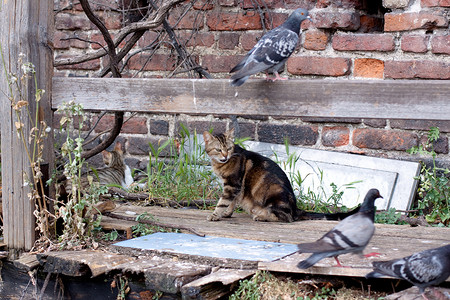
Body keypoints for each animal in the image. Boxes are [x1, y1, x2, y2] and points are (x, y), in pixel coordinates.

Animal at [203, 129, 356, 223]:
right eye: (218, 149)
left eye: (228, 148)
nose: (225, 156)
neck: (221, 163)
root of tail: (296, 209)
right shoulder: (235, 187)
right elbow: (231, 203)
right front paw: (227, 214)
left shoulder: (232, 184)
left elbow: (222, 202)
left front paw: (215, 215)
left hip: (275, 193)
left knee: (287, 218)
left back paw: (261, 216)